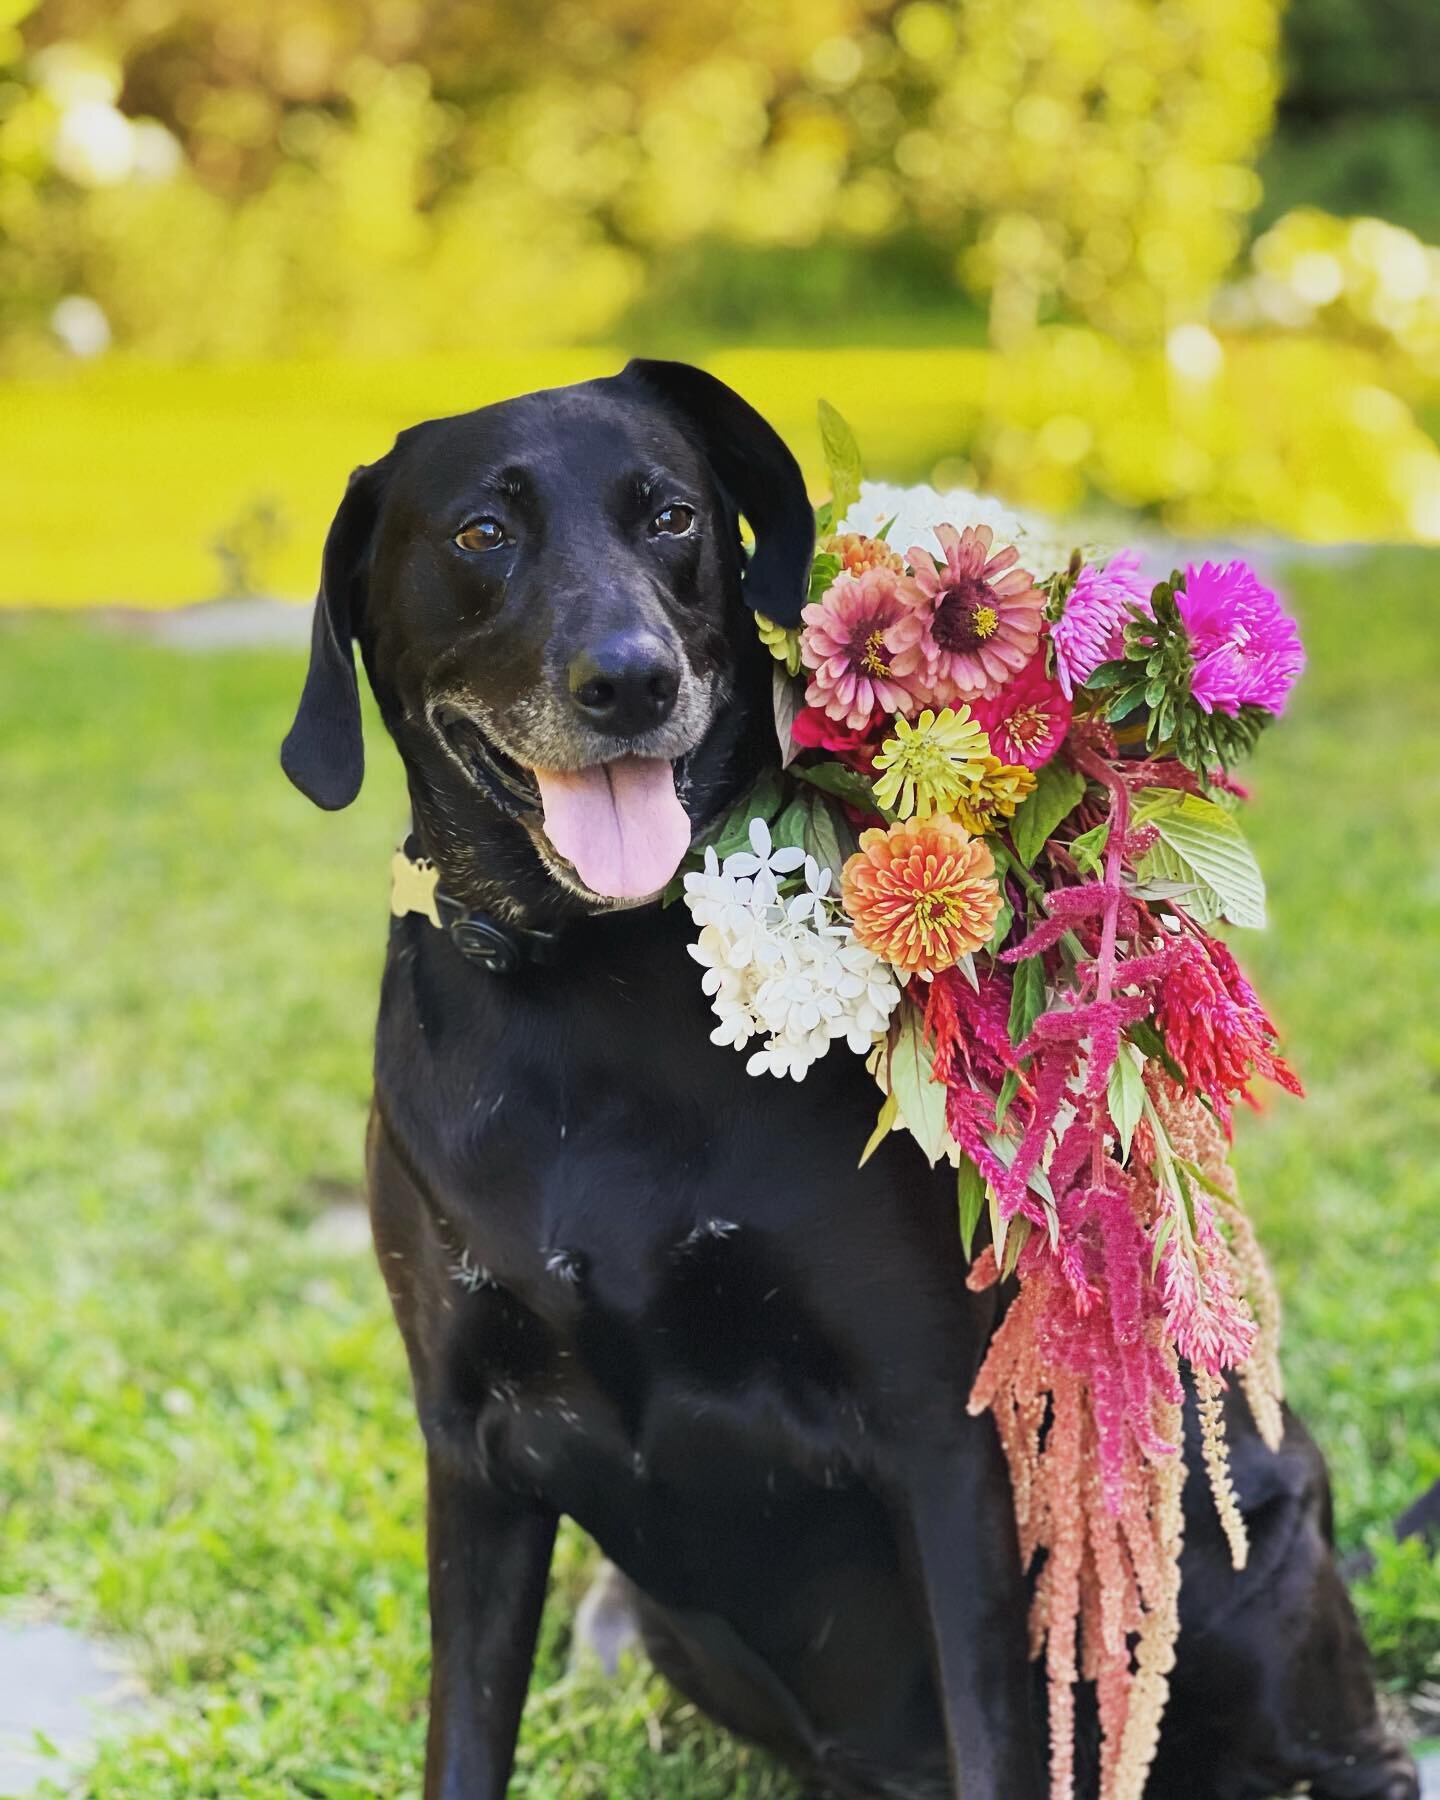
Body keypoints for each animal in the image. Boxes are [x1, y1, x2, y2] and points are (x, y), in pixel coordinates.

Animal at [280, 365, 1418, 1800]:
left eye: (670, 514)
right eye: (484, 533)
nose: (631, 679)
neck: (594, 983)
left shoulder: (940, 1437)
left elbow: (1000, 1740)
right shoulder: (472, 1453)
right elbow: (466, 1739)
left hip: (1247, 1591)